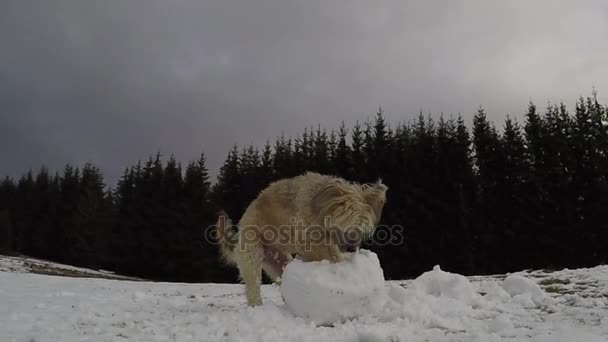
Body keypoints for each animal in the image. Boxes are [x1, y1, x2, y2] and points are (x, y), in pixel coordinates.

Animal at [215, 172, 384, 306]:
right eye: (344, 226)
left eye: (361, 230)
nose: (351, 249)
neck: (319, 205)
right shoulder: (308, 237)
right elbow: (326, 251)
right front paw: (341, 261)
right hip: (252, 253)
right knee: (253, 283)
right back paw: (256, 305)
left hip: (279, 261)